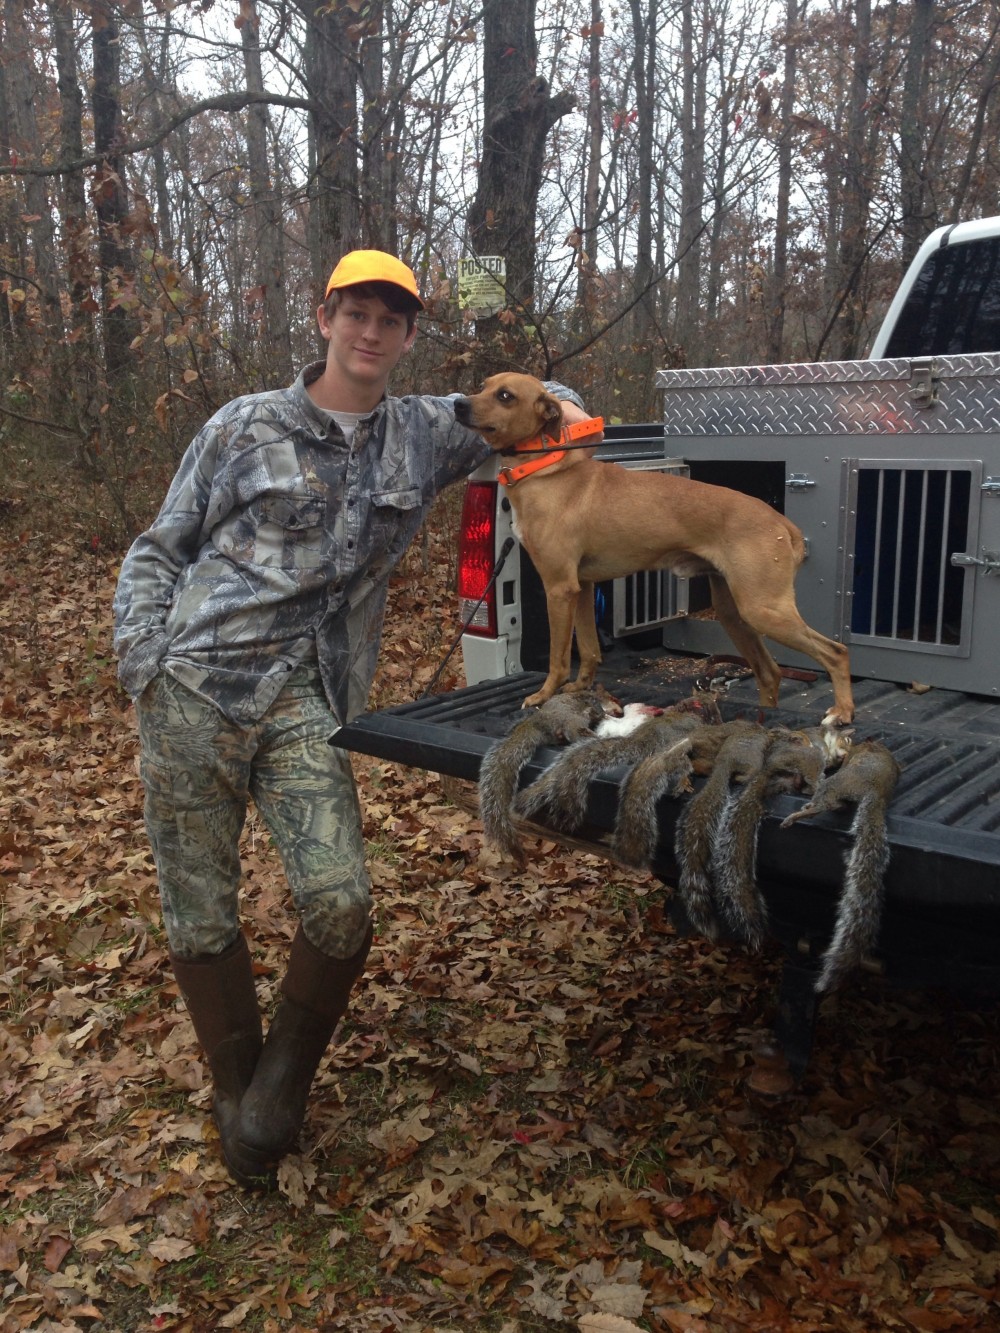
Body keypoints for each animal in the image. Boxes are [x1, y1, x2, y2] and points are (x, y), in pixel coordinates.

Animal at [453, 375, 853, 725]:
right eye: (483, 386)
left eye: (505, 396)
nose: (458, 404)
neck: (544, 468)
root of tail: (780, 522)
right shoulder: (581, 588)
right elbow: (590, 650)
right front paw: (580, 688)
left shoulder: (559, 588)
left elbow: (558, 657)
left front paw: (544, 695)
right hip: (735, 613)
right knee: (769, 673)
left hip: (763, 609)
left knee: (835, 652)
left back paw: (843, 712)